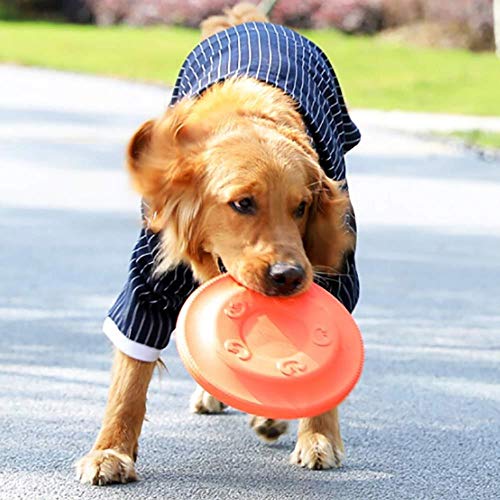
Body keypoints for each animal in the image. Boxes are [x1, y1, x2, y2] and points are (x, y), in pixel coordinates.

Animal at [76, 1, 360, 482]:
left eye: (302, 207)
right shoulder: (148, 280)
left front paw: (318, 436)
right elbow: (130, 377)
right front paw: (110, 451)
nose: (288, 275)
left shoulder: (333, 277)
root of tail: (252, 21)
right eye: (242, 203)